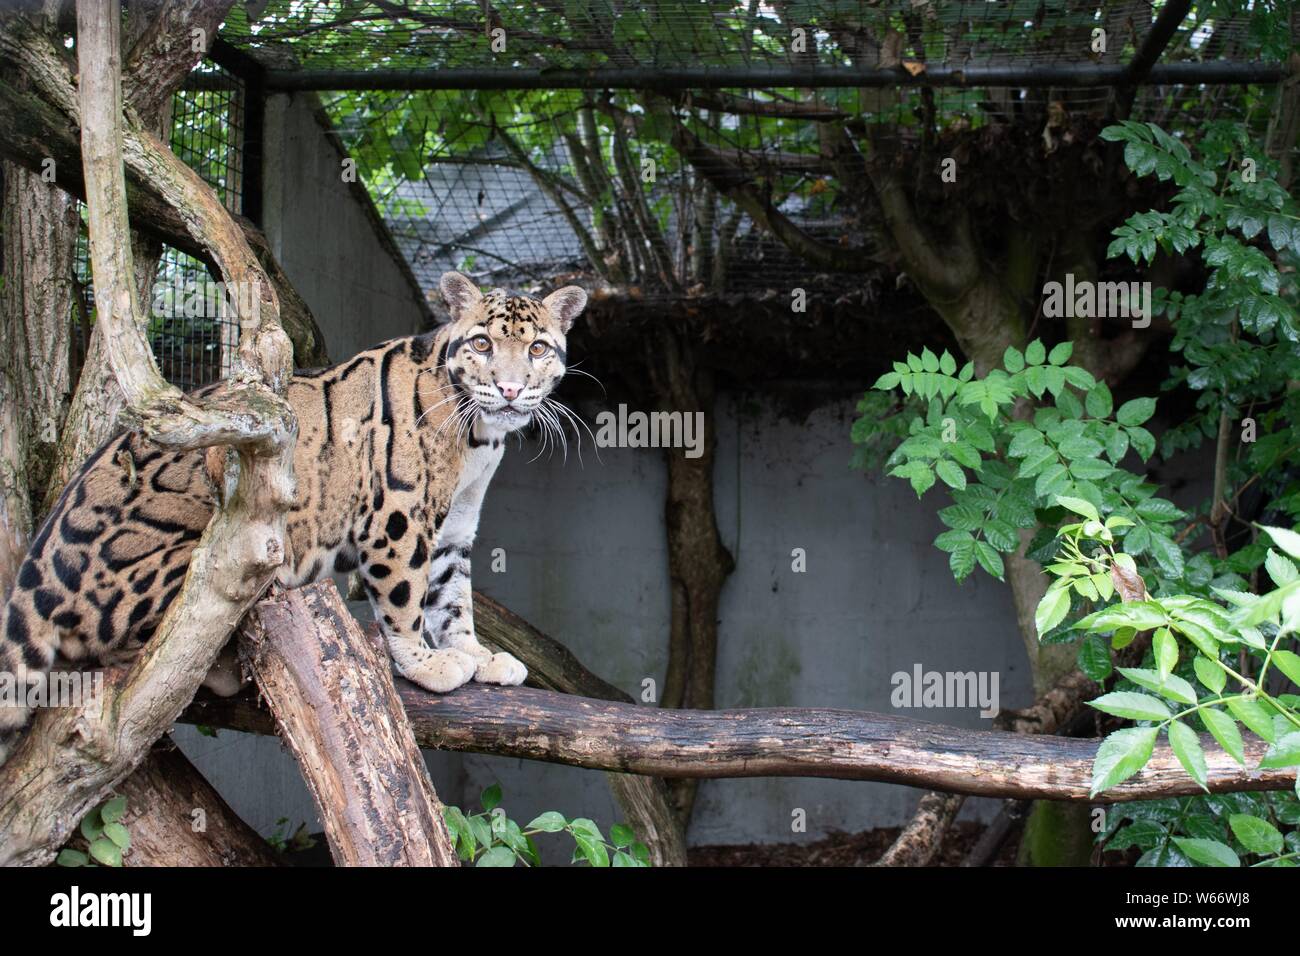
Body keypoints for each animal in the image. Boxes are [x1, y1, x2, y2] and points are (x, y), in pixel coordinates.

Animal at [0, 270, 590, 764]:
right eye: (483, 343)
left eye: (537, 347)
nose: (511, 388)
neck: (480, 438)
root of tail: (36, 573)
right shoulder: (398, 513)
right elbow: (406, 595)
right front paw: (424, 661)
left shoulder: (454, 526)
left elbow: (452, 598)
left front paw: (474, 652)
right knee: (134, 650)